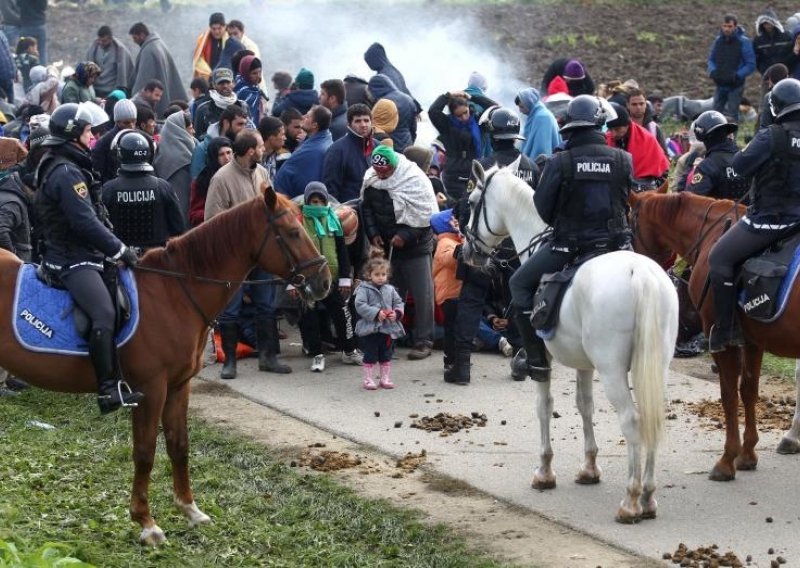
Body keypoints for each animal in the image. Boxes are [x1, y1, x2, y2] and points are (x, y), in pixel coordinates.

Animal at [0, 189, 328, 544]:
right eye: (293, 233)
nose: (324, 281)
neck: (174, 293)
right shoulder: (150, 388)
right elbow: (145, 452)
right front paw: (146, 522)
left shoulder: (178, 386)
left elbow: (178, 445)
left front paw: (190, 509)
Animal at [466, 162, 680, 520]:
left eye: (470, 203)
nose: (466, 251)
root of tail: (641, 275)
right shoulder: (584, 364)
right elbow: (585, 406)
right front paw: (589, 467)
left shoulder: (544, 362)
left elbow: (544, 406)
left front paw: (544, 472)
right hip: (653, 364)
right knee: (652, 417)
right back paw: (649, 496)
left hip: (612, 370)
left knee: (632, 420)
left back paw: (631, 499)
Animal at [632, 193, 800, 482]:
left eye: (629, 225)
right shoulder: (752, 341)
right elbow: (748, 390)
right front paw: (748, 454)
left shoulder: (721, 340)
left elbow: (729, 394)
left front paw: (727, 460)